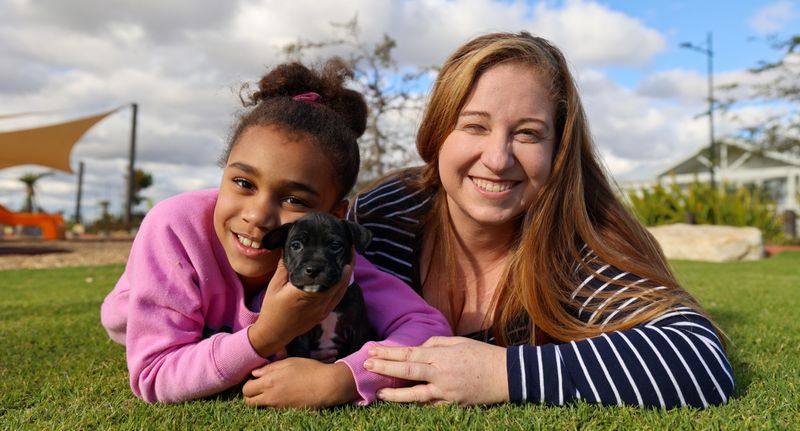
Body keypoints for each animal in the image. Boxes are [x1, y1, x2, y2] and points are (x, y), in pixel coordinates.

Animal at [262, 212, 376, 358]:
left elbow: (356, 350)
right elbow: (301, 355)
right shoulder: (299, 335)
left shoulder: (358, 329)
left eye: (335, 246)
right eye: (296, 245)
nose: (313, 269)